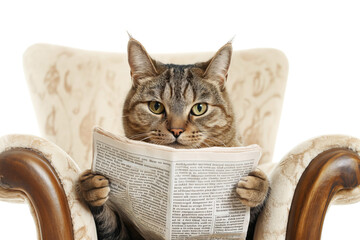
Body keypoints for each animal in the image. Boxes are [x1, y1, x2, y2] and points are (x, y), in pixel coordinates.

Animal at [79, 37, 270, 240]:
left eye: (199, 108)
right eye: (156, 106)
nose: (176, 130)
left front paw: (258, 187)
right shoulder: (124, 234)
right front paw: (90, 187)